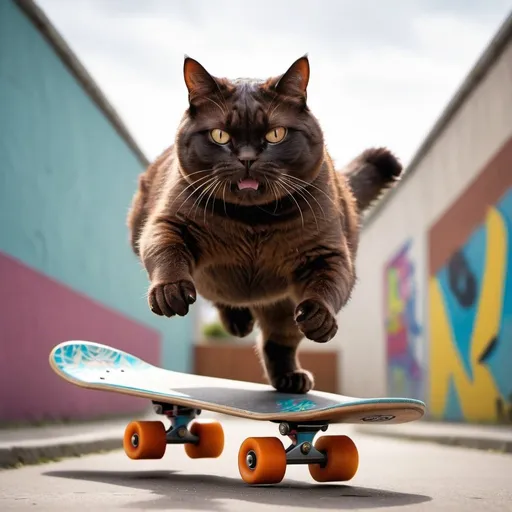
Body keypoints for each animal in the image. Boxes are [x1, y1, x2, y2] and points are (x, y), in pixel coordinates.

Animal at [126, 55, 402, 392]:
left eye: (276, 134)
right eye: (220, 135)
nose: (247, 158)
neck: (252, 220)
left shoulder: (328, 253)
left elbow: (330, 284)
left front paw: (320, 318)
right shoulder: (169, 223)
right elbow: (166, 251)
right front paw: (171, 291)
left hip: (282, 306)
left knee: (278, 341)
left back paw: (289, 377)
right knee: (219, 296)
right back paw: (238, 321)